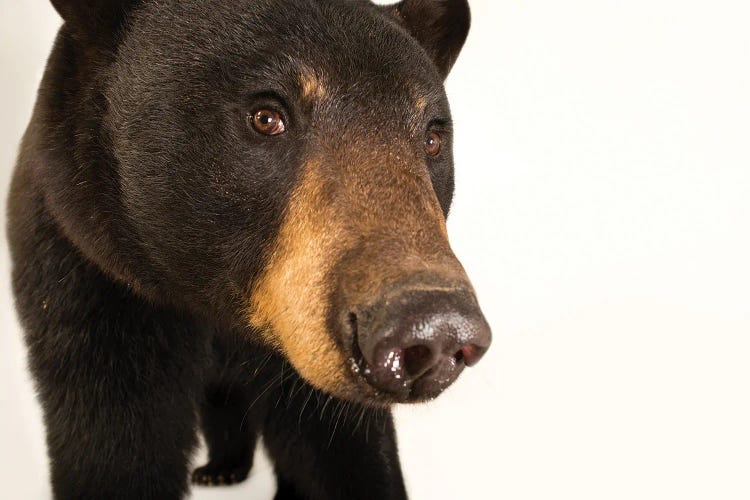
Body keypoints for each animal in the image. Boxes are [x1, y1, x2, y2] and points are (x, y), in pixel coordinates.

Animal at [8, 0, 496, 500]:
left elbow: (343, 446)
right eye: (266, 117)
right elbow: (111, 431)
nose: (434, 329)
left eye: (432, 139)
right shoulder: (91, 276)